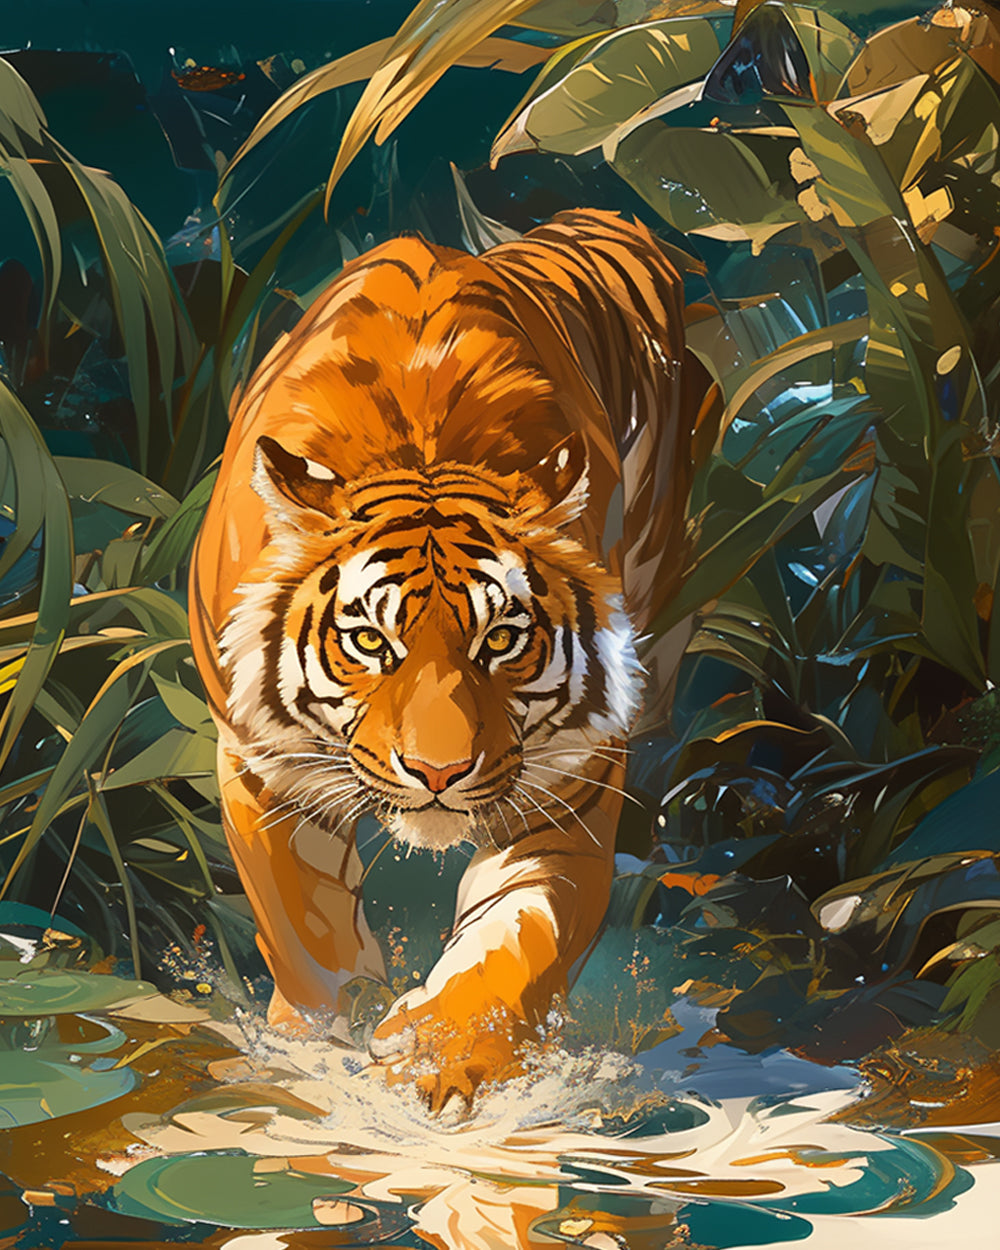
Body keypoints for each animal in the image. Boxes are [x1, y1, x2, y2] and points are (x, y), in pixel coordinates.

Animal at [189, 209, 712, 1110]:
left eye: (500, 639)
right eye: (370, 641)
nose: (438, 773)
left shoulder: (569, 781)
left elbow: (520, 940)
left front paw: (440, 1054)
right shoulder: (265, 764)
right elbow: (306, 932)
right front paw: (312, 1049)